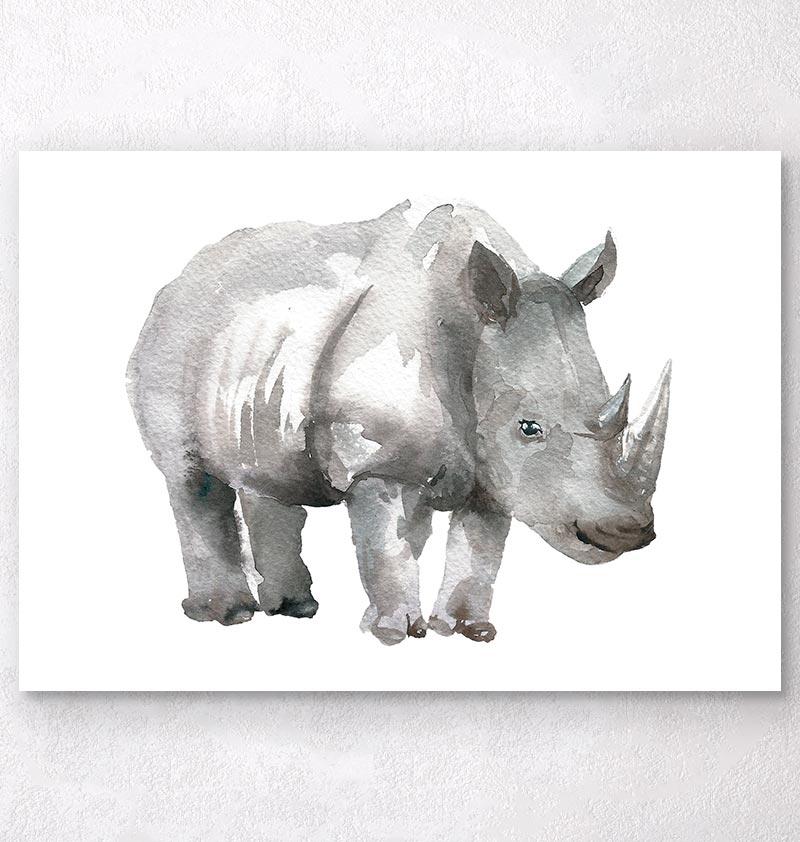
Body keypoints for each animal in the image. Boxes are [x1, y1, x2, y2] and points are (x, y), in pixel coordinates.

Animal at [127, 200, 670, 645]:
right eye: (529, 427)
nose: (624, 532)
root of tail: (183, 276)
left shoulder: (493, 471)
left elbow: (480, 547)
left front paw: (467, 631)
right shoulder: (377, 455)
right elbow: (389, 541)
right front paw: (395, 633)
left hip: (256, 348)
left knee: (267, 472)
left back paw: (295, 610)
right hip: (172, 339)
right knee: (189, 477)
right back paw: (227, 616)